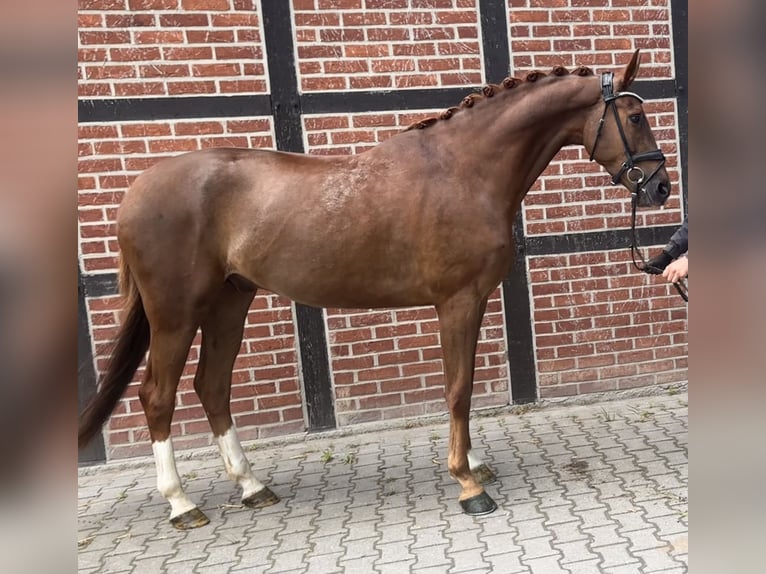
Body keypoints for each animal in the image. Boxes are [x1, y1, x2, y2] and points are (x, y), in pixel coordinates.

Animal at [78, 49, 670, 529]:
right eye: (636, 117)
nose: (660, 187)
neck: (463, 169)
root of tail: (138, 189)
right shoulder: (458, 301)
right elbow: (459, 389)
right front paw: (467, 483)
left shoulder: (472, 301)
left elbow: (465, 385)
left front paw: (474, 464)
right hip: (176, 313)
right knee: (158, 396)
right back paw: (181, 503)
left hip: (230, 300)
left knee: (212, 387)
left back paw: (251, 486)